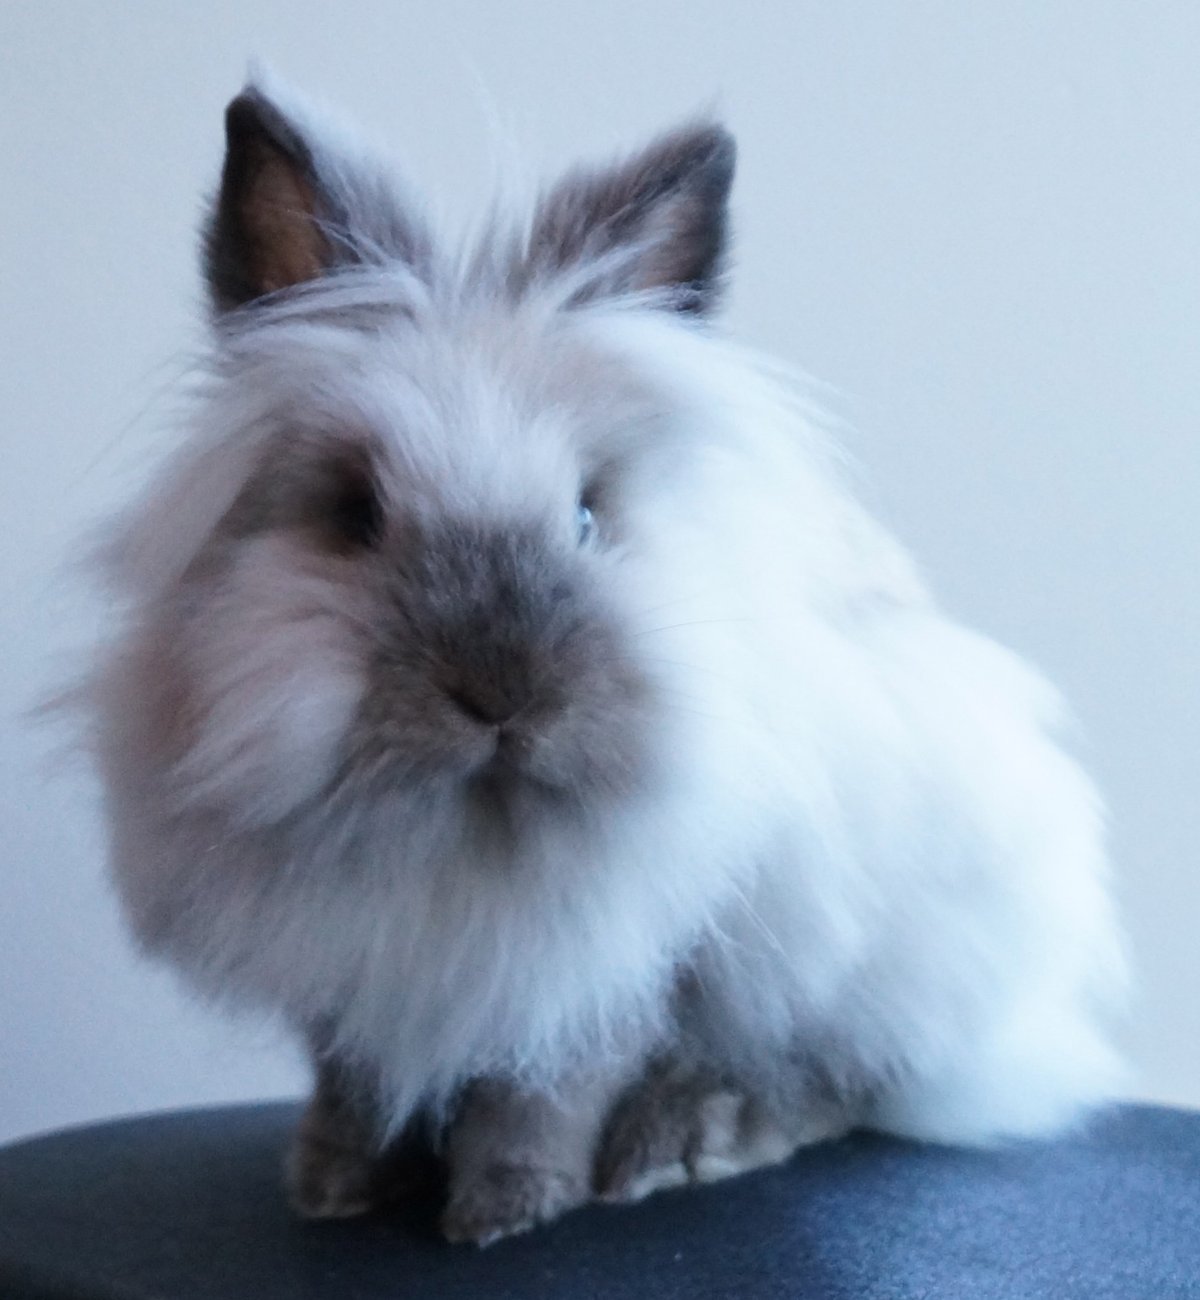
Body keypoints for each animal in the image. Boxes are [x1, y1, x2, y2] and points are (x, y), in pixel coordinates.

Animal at [83, 75, 1127, 1246]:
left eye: (588, 513)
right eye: (354, 515)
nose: (501, 695)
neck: (464, 836)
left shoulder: (613, 970)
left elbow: (546, 1094)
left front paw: (505, 1212)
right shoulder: (347, 974)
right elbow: (348, 1081)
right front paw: (333, 1187)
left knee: (840, 1079)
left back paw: (688, 1140)